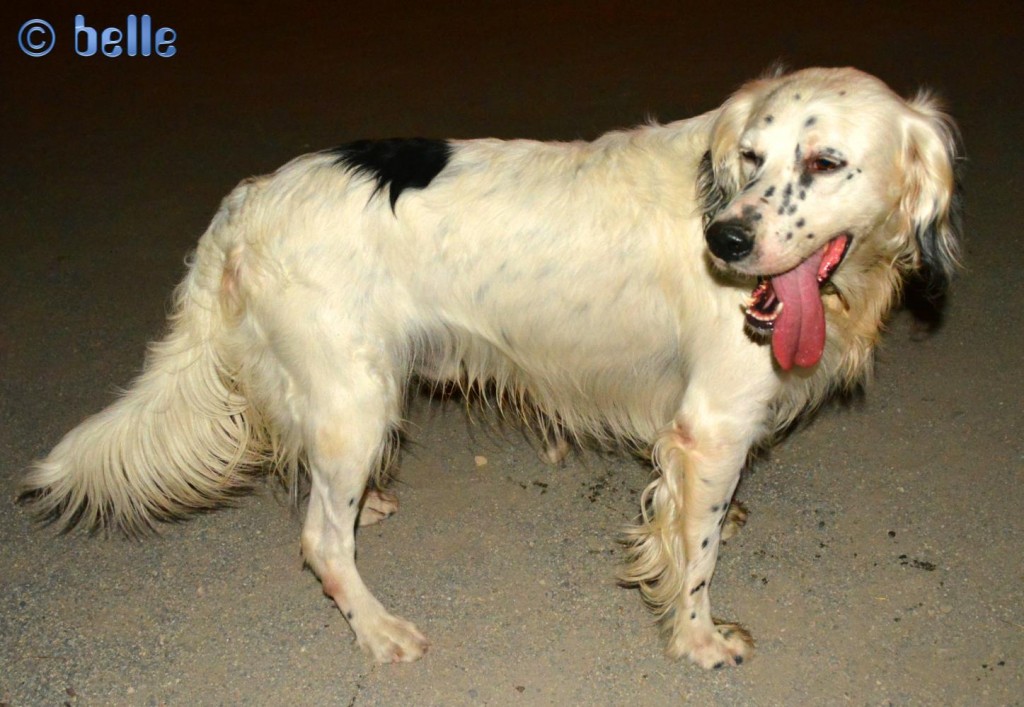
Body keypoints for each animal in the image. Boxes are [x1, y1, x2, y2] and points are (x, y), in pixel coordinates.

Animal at [22, 68, 958, 668]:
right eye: (753, 160)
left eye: (826, 162)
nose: (723, 240)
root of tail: (247, 200)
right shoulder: (712, 424)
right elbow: (691, 555)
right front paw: (698, 640)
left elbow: (699, 521)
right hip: (358, 397)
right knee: (321, 539)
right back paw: (378, 627)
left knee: (310, 476)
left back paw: (368, 504)